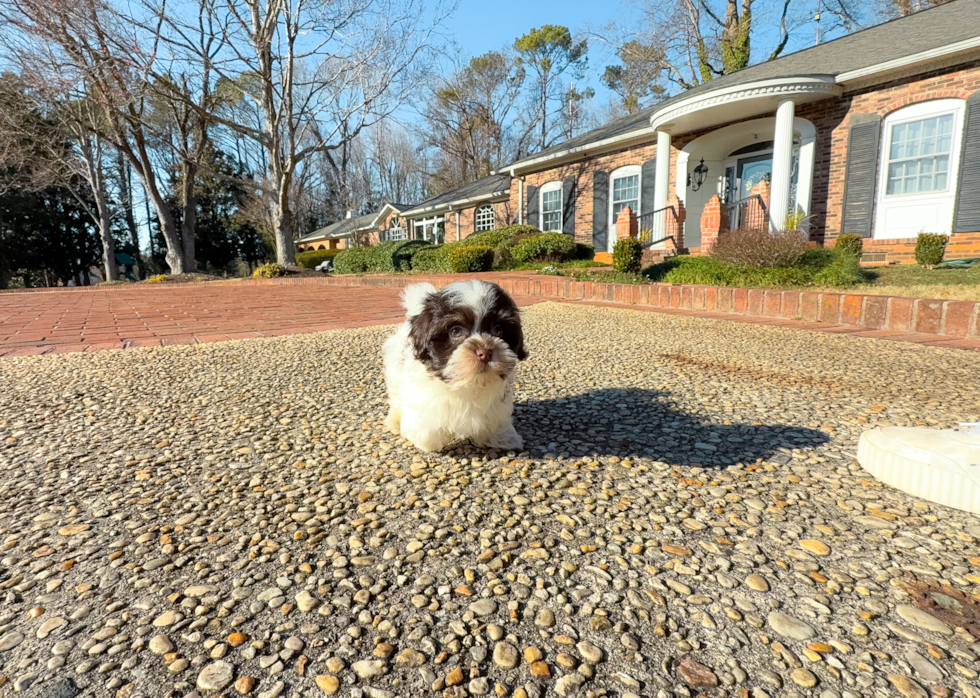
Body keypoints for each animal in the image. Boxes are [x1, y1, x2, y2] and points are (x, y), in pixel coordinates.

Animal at [382, 278, 528, 452]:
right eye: (456, 331)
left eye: (498, 330)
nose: (484, 352)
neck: (469, 383)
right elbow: (426, 429)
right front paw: (434, 438)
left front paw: (503, 439)